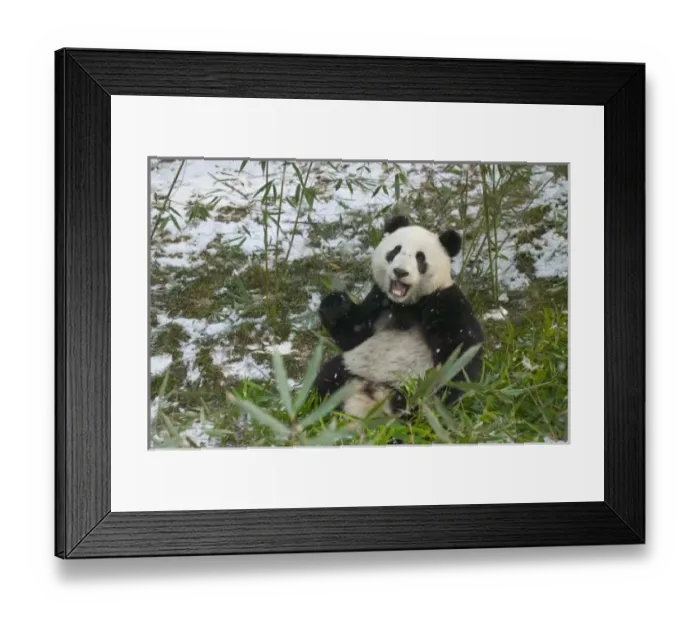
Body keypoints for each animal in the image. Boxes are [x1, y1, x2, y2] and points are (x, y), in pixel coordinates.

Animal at [313, 215, 485, 419]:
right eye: (395, 251)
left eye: (420, 258)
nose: (400, 272)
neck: (407, 304)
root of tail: (372, 394)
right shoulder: (380, 299)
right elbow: (354, 334)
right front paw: (335, 304)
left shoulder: (445, 301)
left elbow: (461, 350)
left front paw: (446, 391)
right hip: (353, 366)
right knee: (326, 377)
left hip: (410, 385)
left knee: (412, 405)